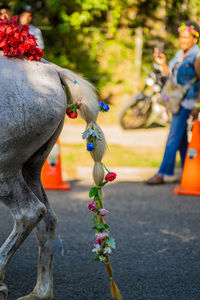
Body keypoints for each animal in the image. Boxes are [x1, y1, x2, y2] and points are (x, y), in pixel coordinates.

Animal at [0, 52, 106, 300]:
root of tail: (51, 70)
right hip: (30, 168)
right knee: (47, 219)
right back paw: (40, 293)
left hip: (4, 169)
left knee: (29, 212)